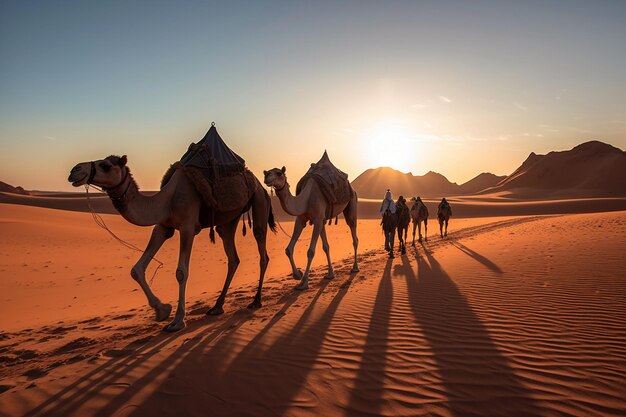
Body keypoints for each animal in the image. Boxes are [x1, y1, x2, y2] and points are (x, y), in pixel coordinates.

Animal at [67, 154, 274, 332]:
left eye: (106, 165)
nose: (75, 170)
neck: (167, 200)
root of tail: (258, 183)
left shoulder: (188, 227)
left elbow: (181, 272)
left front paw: (177, 321)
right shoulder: (163, 227)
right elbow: (137, 269)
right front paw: (162, 310)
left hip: (259, 201)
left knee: (262, 251)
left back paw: (256, 300)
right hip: (228, 220)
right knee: (232, 256)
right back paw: (217, 306)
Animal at [260, 161, 356, 290]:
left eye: (279, 173)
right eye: (267, 172)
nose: (266, 176)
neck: (305, 200)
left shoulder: (317, 219)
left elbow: (310, 251)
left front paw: (304, 282)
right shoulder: (303, 219)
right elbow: (289, 249)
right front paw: (298, 275)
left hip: (352, 201)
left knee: (353, 233)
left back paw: (355, 268)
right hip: (323, 220)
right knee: (326, 245)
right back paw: (330, 274)